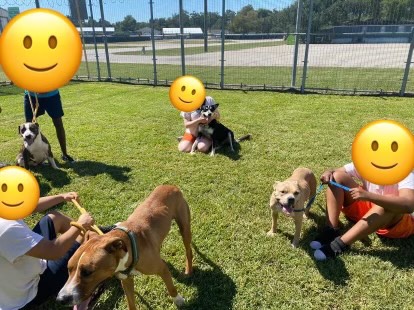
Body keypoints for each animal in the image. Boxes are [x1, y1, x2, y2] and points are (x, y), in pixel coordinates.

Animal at [56, 185, 194, 308]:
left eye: (87, 272)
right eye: (68, 268)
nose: (60, 299)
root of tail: (171, 185)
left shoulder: (162, 269)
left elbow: (171, 287)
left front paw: (178, 300)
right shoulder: (126, 282)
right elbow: (131, 303)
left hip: (184, 227)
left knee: (189, 251)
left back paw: (188, 270)